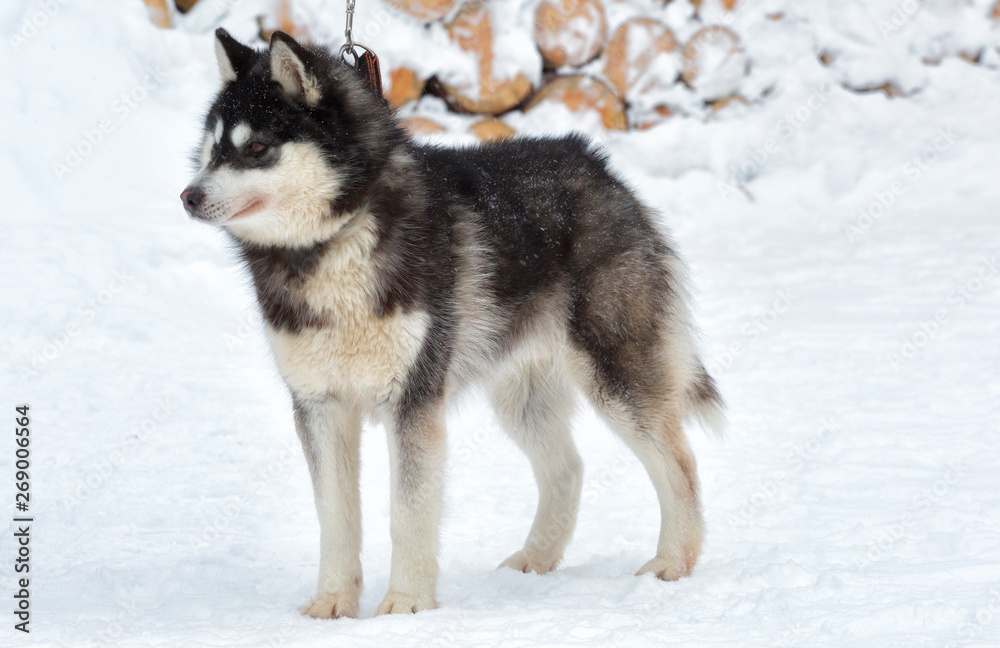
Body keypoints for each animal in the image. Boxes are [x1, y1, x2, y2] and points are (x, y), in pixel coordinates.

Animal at [182, 29, 728, 616]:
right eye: (211, 150)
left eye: (257, 148)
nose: (189, 196)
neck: (338, 242)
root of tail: (593, 163)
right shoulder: (319, 405)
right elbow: (336, 519)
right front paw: (333, 602)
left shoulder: (413, 400)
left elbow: (408, 512)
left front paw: (406, 603)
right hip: (522, 397)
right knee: (567, 469)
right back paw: (535, 559)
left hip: (617, 379)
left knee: (680, 463)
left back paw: (673, 562)